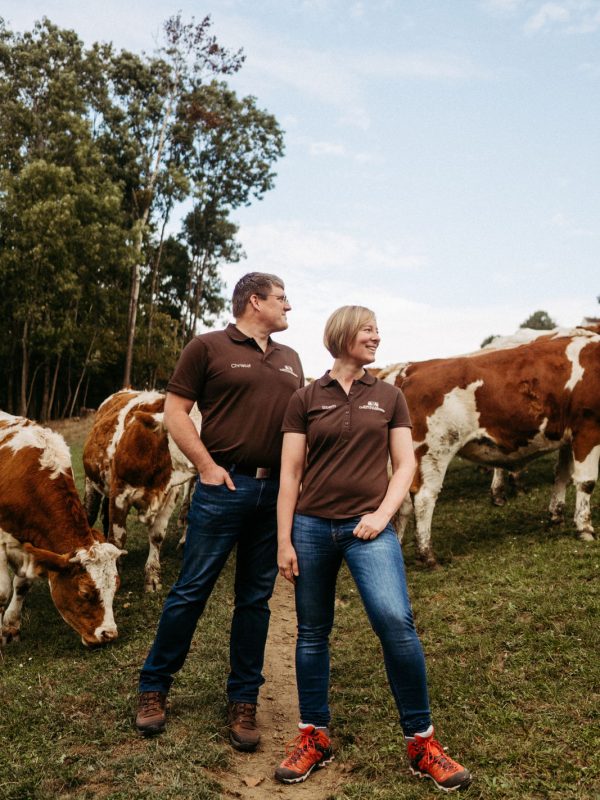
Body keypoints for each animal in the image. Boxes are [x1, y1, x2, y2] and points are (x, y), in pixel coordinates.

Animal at [0, 412, 124, 644]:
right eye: (84, 593)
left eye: (115, 587)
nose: (108, 634)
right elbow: (2, 592)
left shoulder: (32, 547)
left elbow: (21, 585)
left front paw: (10, 627)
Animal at [82, 390, 200, 592]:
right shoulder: (119, 494)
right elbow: (118, 537)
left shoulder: (169, 496)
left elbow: (157, 536)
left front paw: (152, 577)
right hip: (92, 485)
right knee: (90, 515)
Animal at [380, 328, 600, 564]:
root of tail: (413, 369)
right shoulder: (588, 429)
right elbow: (586, 482)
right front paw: (585, 528)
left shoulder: (568, 436)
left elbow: (562, 475)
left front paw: (556, 516)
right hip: (433, 450)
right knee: (424, 497)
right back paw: (427, 554)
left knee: (402, 501)